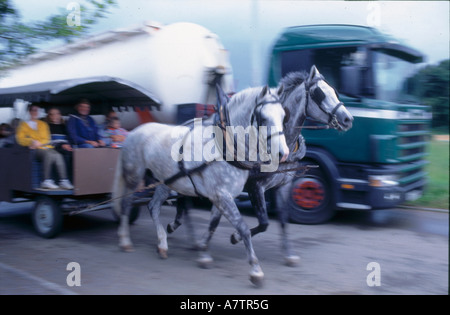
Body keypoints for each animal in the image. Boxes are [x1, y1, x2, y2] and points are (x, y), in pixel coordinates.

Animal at [112, 85, 288, 286]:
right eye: (263, 118)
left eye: (283, 116)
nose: (283, 153)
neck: (224, 146)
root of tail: (132, 132)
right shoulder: (221, 195)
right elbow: (243, 228)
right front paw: (255, 270)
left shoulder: (221, 197)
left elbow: (213, 224)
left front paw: (203, 252)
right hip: (134, 176)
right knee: (126, 204)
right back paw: (125, 240)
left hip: (165, 182)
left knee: (153, 206)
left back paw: (162, 244)